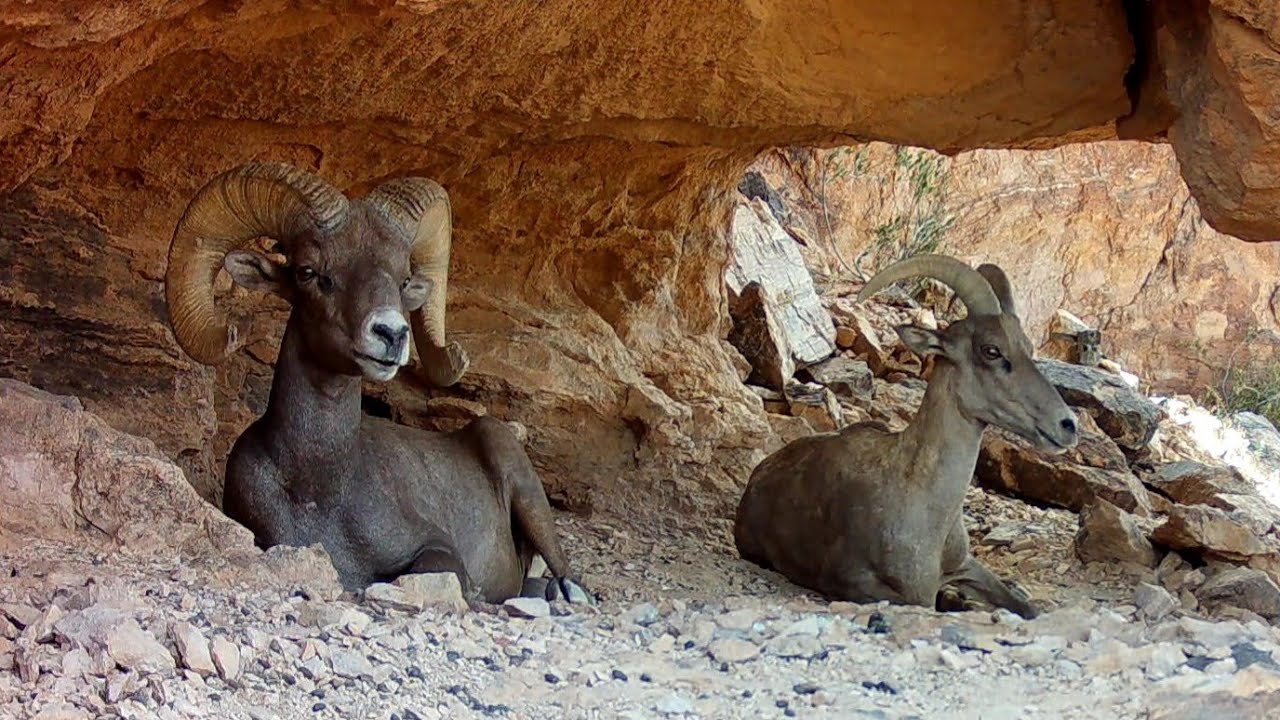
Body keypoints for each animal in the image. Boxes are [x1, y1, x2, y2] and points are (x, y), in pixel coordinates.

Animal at [164, 161, 588, 603]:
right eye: (308, 272)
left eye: (403, 280)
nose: (392, 333)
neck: (319, 490)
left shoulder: (435, 544)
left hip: (521, 483)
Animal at [733, 255, 1079, 618]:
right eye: (991, 350)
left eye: (1027, 346)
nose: (1067, 425)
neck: (924, 511)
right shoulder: (853, 582)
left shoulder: (965, 565)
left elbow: (1026, 608)